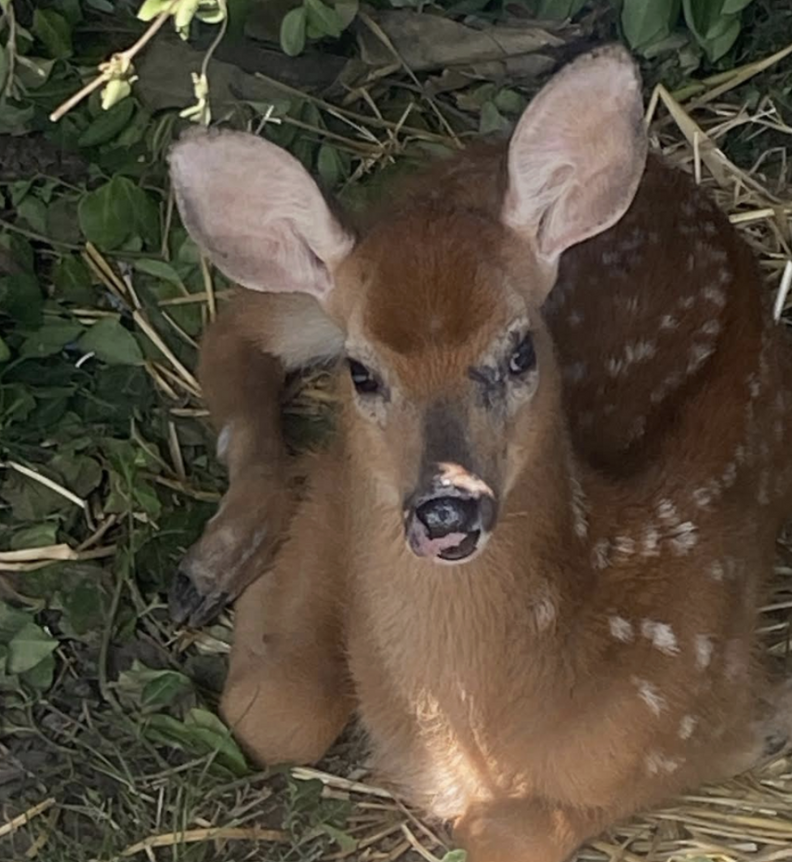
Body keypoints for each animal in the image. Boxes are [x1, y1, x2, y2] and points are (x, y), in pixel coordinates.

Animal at [168, 45, 792, 862]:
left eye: (520, 350)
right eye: (362, 371)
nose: (446, 508)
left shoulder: (706, 709)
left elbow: (509, 832)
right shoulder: (342, 483)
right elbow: (272, 714)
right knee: (240, 320)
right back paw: (216, 560)